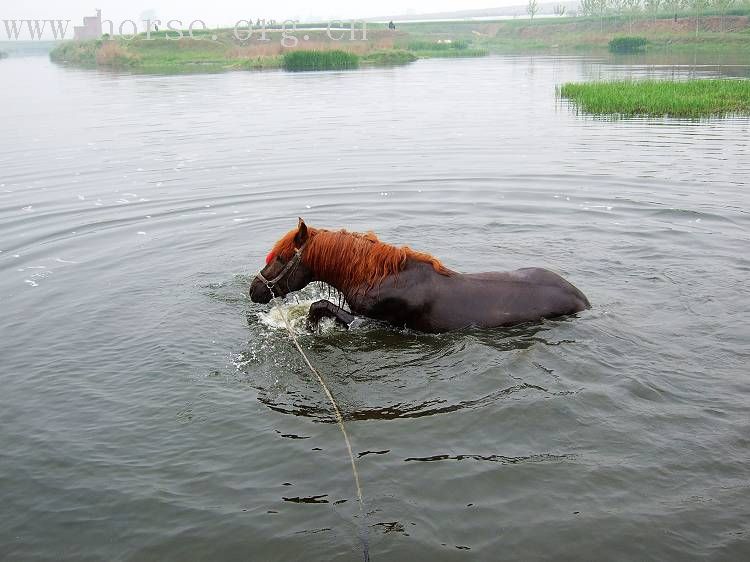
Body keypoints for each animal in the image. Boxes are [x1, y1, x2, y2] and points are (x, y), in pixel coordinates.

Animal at [250, 219, 592, 332]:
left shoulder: (376, 321)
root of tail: (583, 298)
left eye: (281, 258)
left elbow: (319, 305)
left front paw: (311, 327)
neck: (378, 277)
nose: (254, 289)